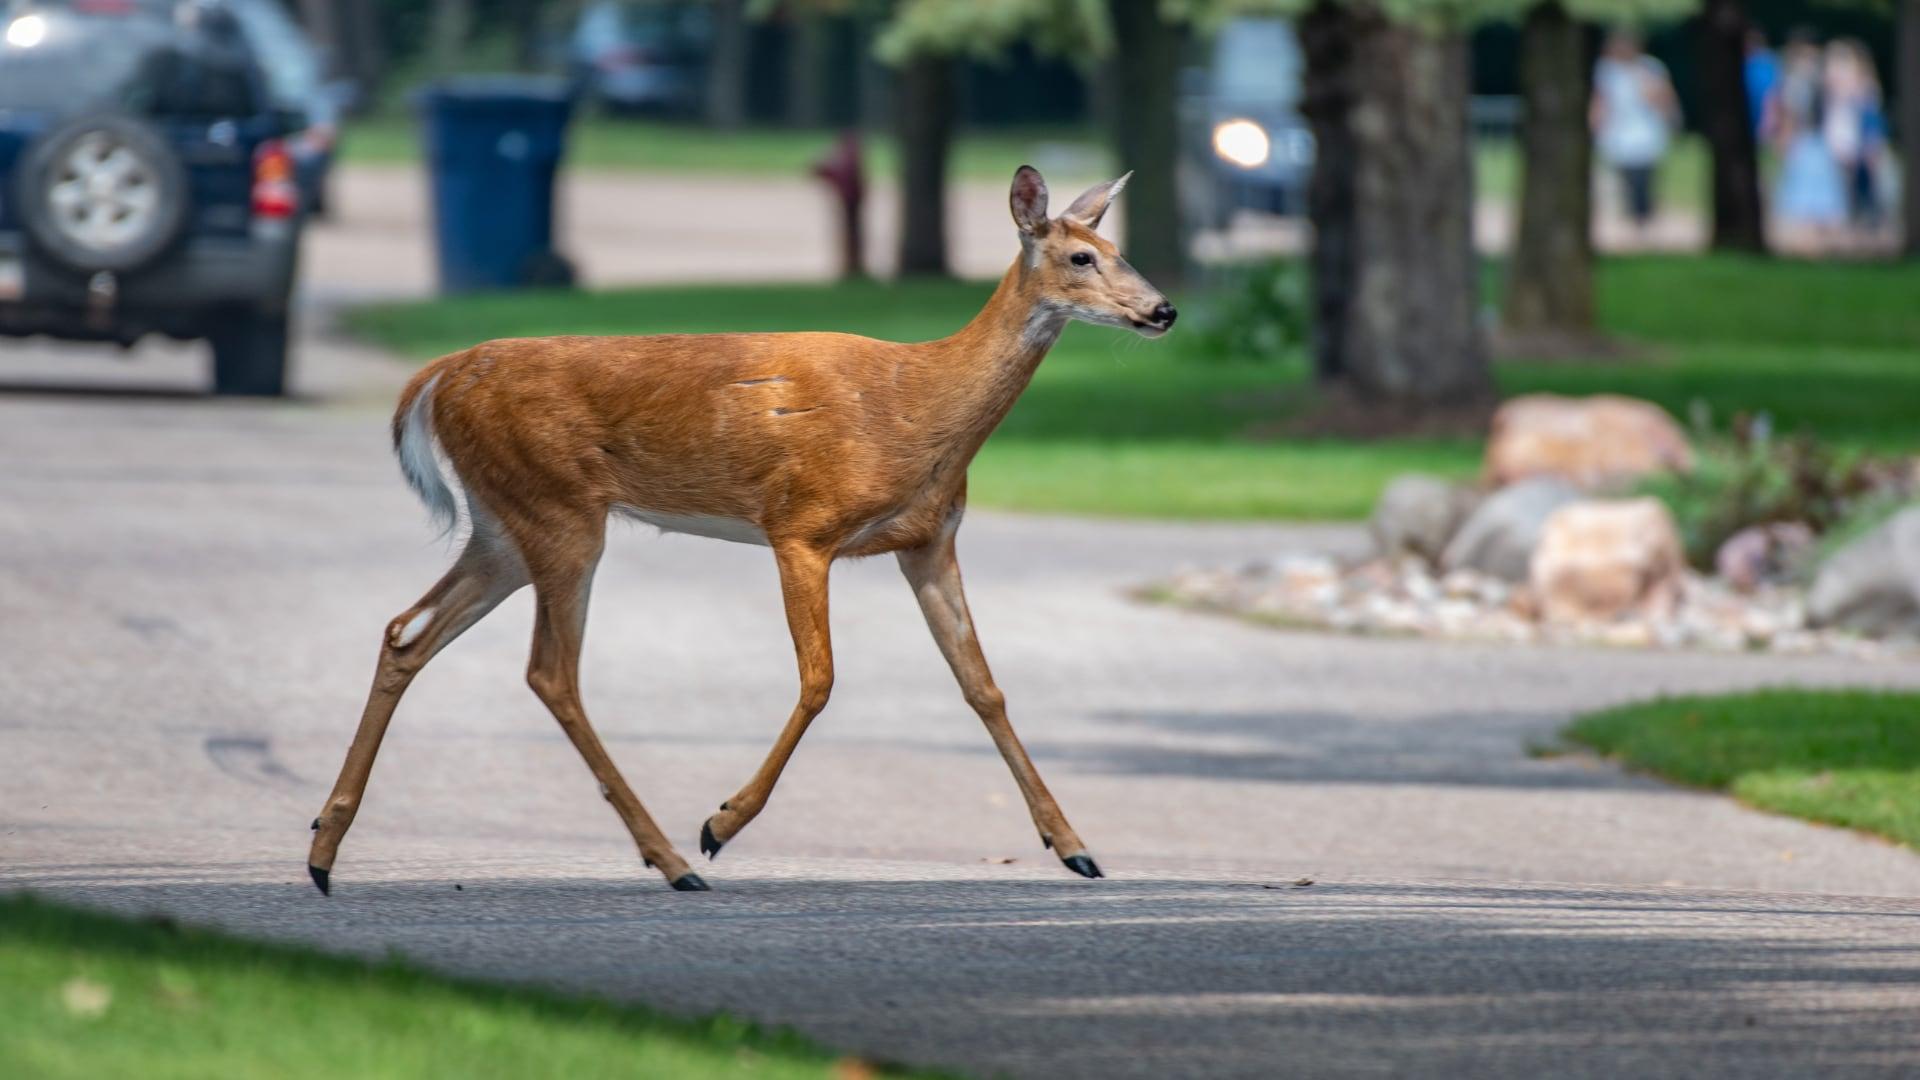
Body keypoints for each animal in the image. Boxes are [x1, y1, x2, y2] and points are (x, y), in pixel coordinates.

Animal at [307, 166, 1175, 891]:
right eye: (1080, 257)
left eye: (1120, 249)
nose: (1163, 309)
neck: (919, 406)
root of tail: (436, 377)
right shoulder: (802, 526)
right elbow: (820, 679)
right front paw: (721, 823)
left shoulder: (929, 541)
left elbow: (983, 686)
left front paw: (1074, 847)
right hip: (558, 513)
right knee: (550, 671)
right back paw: (675, 859)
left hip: (502, 525)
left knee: (407, 633)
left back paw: (323, 850)